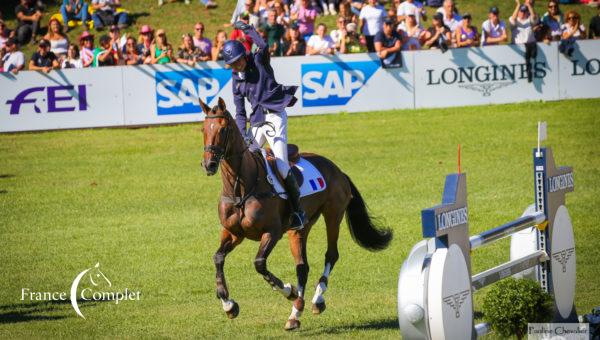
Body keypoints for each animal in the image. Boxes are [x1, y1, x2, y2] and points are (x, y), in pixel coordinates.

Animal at [199, 97, 392, 330]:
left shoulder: (271, 232)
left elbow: (259, 263)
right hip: (300, 228)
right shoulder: (233, 233)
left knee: (331, 255)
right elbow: (218, 258)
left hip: (333, 215)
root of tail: (337, 169)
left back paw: (316, 300)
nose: (209, 164)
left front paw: (288, 291)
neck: (241, 189)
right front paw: (228, 304)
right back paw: (295, 314)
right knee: (302, 266)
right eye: (203, 129)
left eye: (223, 129)